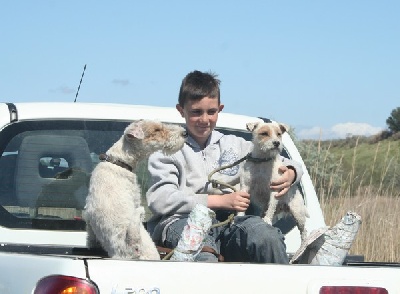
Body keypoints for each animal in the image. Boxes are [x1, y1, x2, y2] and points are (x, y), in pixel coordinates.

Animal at [84, 119, 186, 260]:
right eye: (157, 130)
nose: (184, 133)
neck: (118, 161)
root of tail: (133, 247)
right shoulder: (136, 199)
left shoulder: (88, 216)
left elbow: (90, 235)